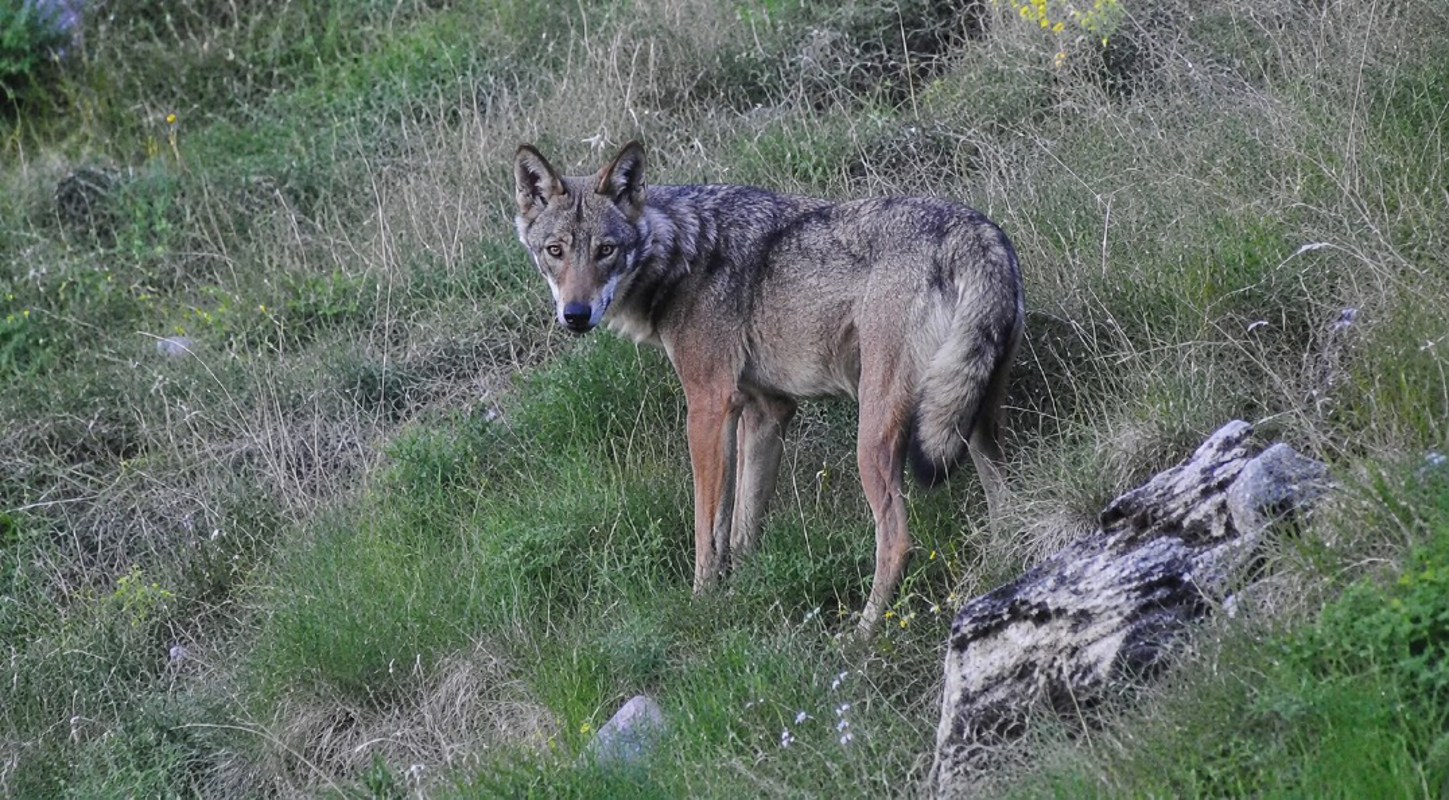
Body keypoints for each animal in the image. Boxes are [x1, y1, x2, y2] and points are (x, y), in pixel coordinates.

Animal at [512, 141, 1024, 632]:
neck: (683, 251)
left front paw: (702, 604)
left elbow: (706, 528)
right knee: (1004, 507)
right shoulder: (767, 411)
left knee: (897, 540)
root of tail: (978, 233)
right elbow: (741, 528)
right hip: (973, 424)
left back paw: (863, 634)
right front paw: (742, 595)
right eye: (555, 251)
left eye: (606, 250)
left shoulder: (708, 406)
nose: (575, 315)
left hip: (876, 435)